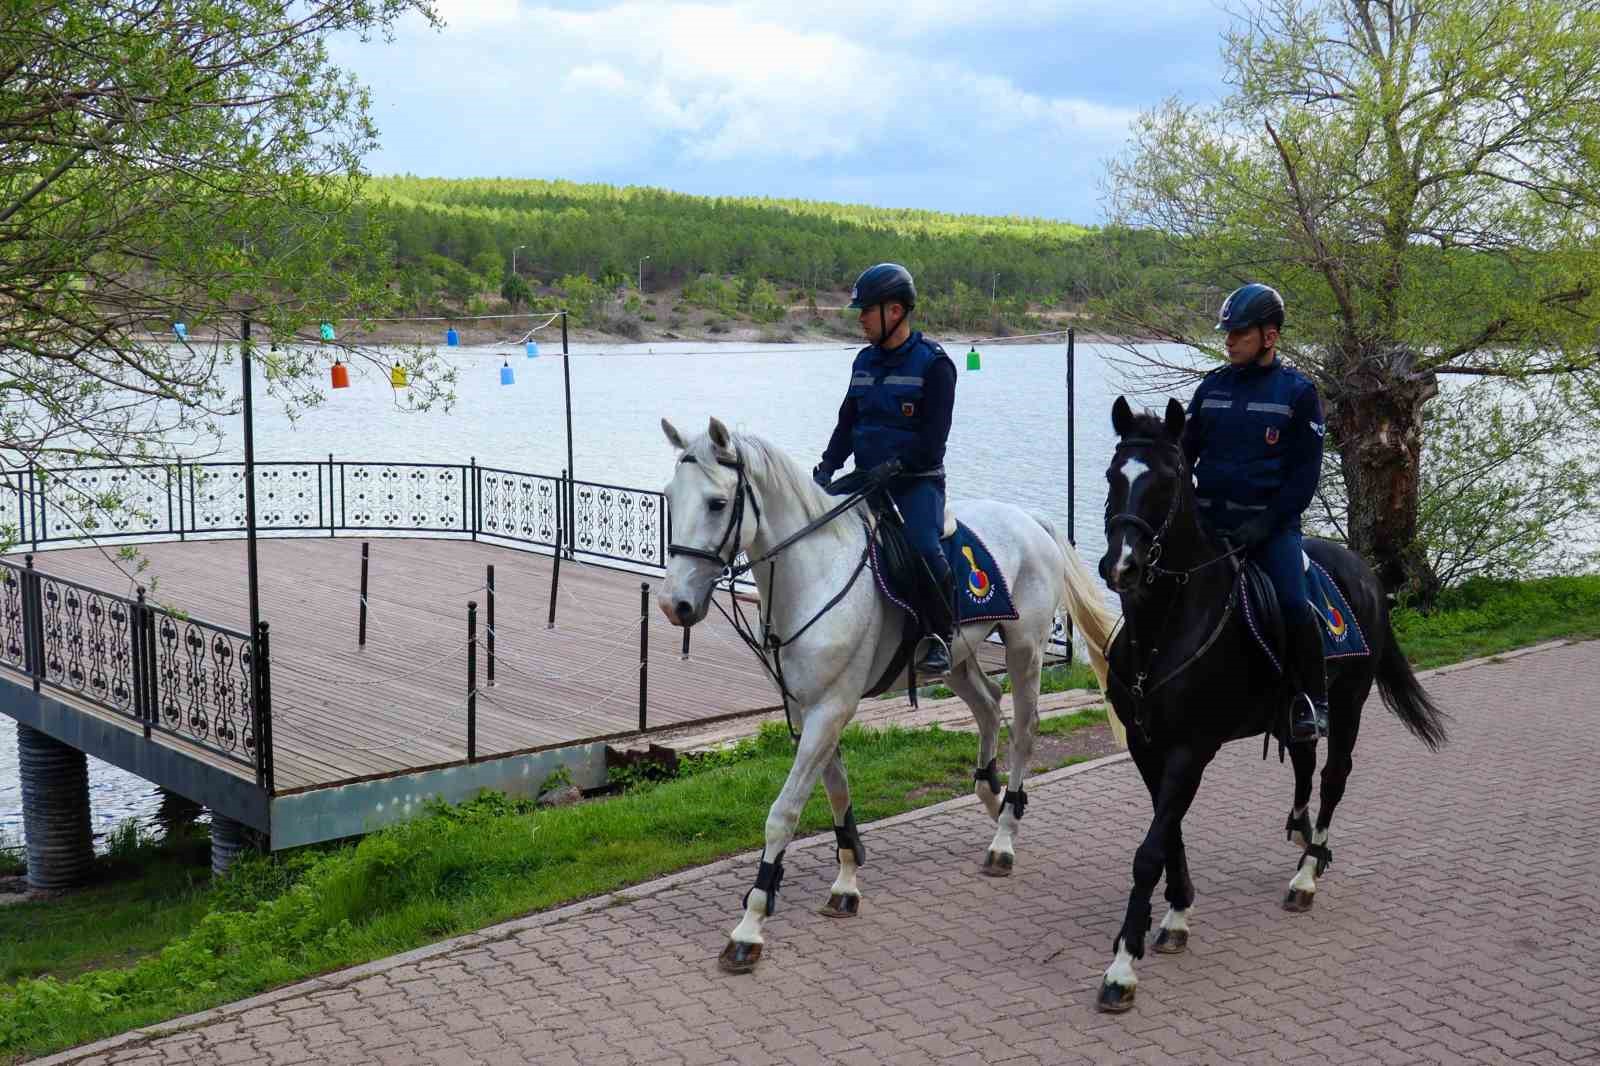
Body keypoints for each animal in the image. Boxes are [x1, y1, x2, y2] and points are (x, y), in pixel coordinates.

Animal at [656, 416, 1120, 973]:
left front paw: (750, 926)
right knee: (988, 705)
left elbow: (783, 814)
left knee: (1024, 732)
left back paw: (1004, 836)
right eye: (669, 496)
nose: (674, 604)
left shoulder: (831, 708)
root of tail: (1030, 519)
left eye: (717, 503)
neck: (814, 573)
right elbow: (836, 792)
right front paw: (846, 883)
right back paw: (991, 796)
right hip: (956, 658)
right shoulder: (806, 710)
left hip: (1025, 649)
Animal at [1094, 393, 1446, 1011]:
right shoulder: (1146, 746)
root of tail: (1364, 572)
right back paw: (1302, 834)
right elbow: (1170, 832)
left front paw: (1122, 965)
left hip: (1348, 705)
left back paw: (1307, 873)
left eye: (1168, 480)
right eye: (1115, 474)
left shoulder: (1190, 749)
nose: (1122, 566)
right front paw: (1178, 912)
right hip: (1291, 714)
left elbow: (1151, 849)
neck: (1166, 627)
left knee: (1332, 778)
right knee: (1304, 763)